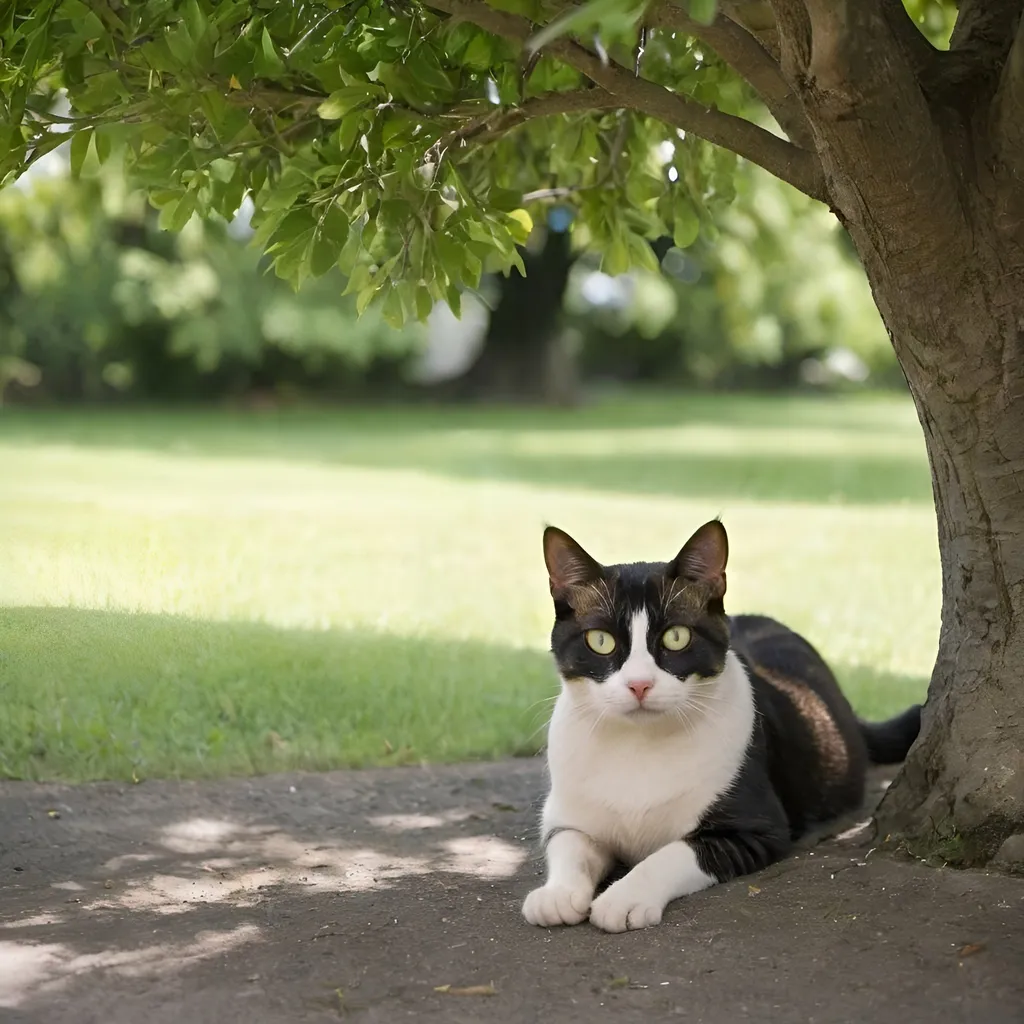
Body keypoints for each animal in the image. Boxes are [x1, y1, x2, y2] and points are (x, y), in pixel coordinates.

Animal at [524, 520, 925, 937]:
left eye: (676, 637)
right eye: (600, 640)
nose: (639, 685)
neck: (640, 744)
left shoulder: (755, 830)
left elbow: (672, 853)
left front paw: (624, 897)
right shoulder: (567, 816)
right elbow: (569, 846)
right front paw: (556, 895)